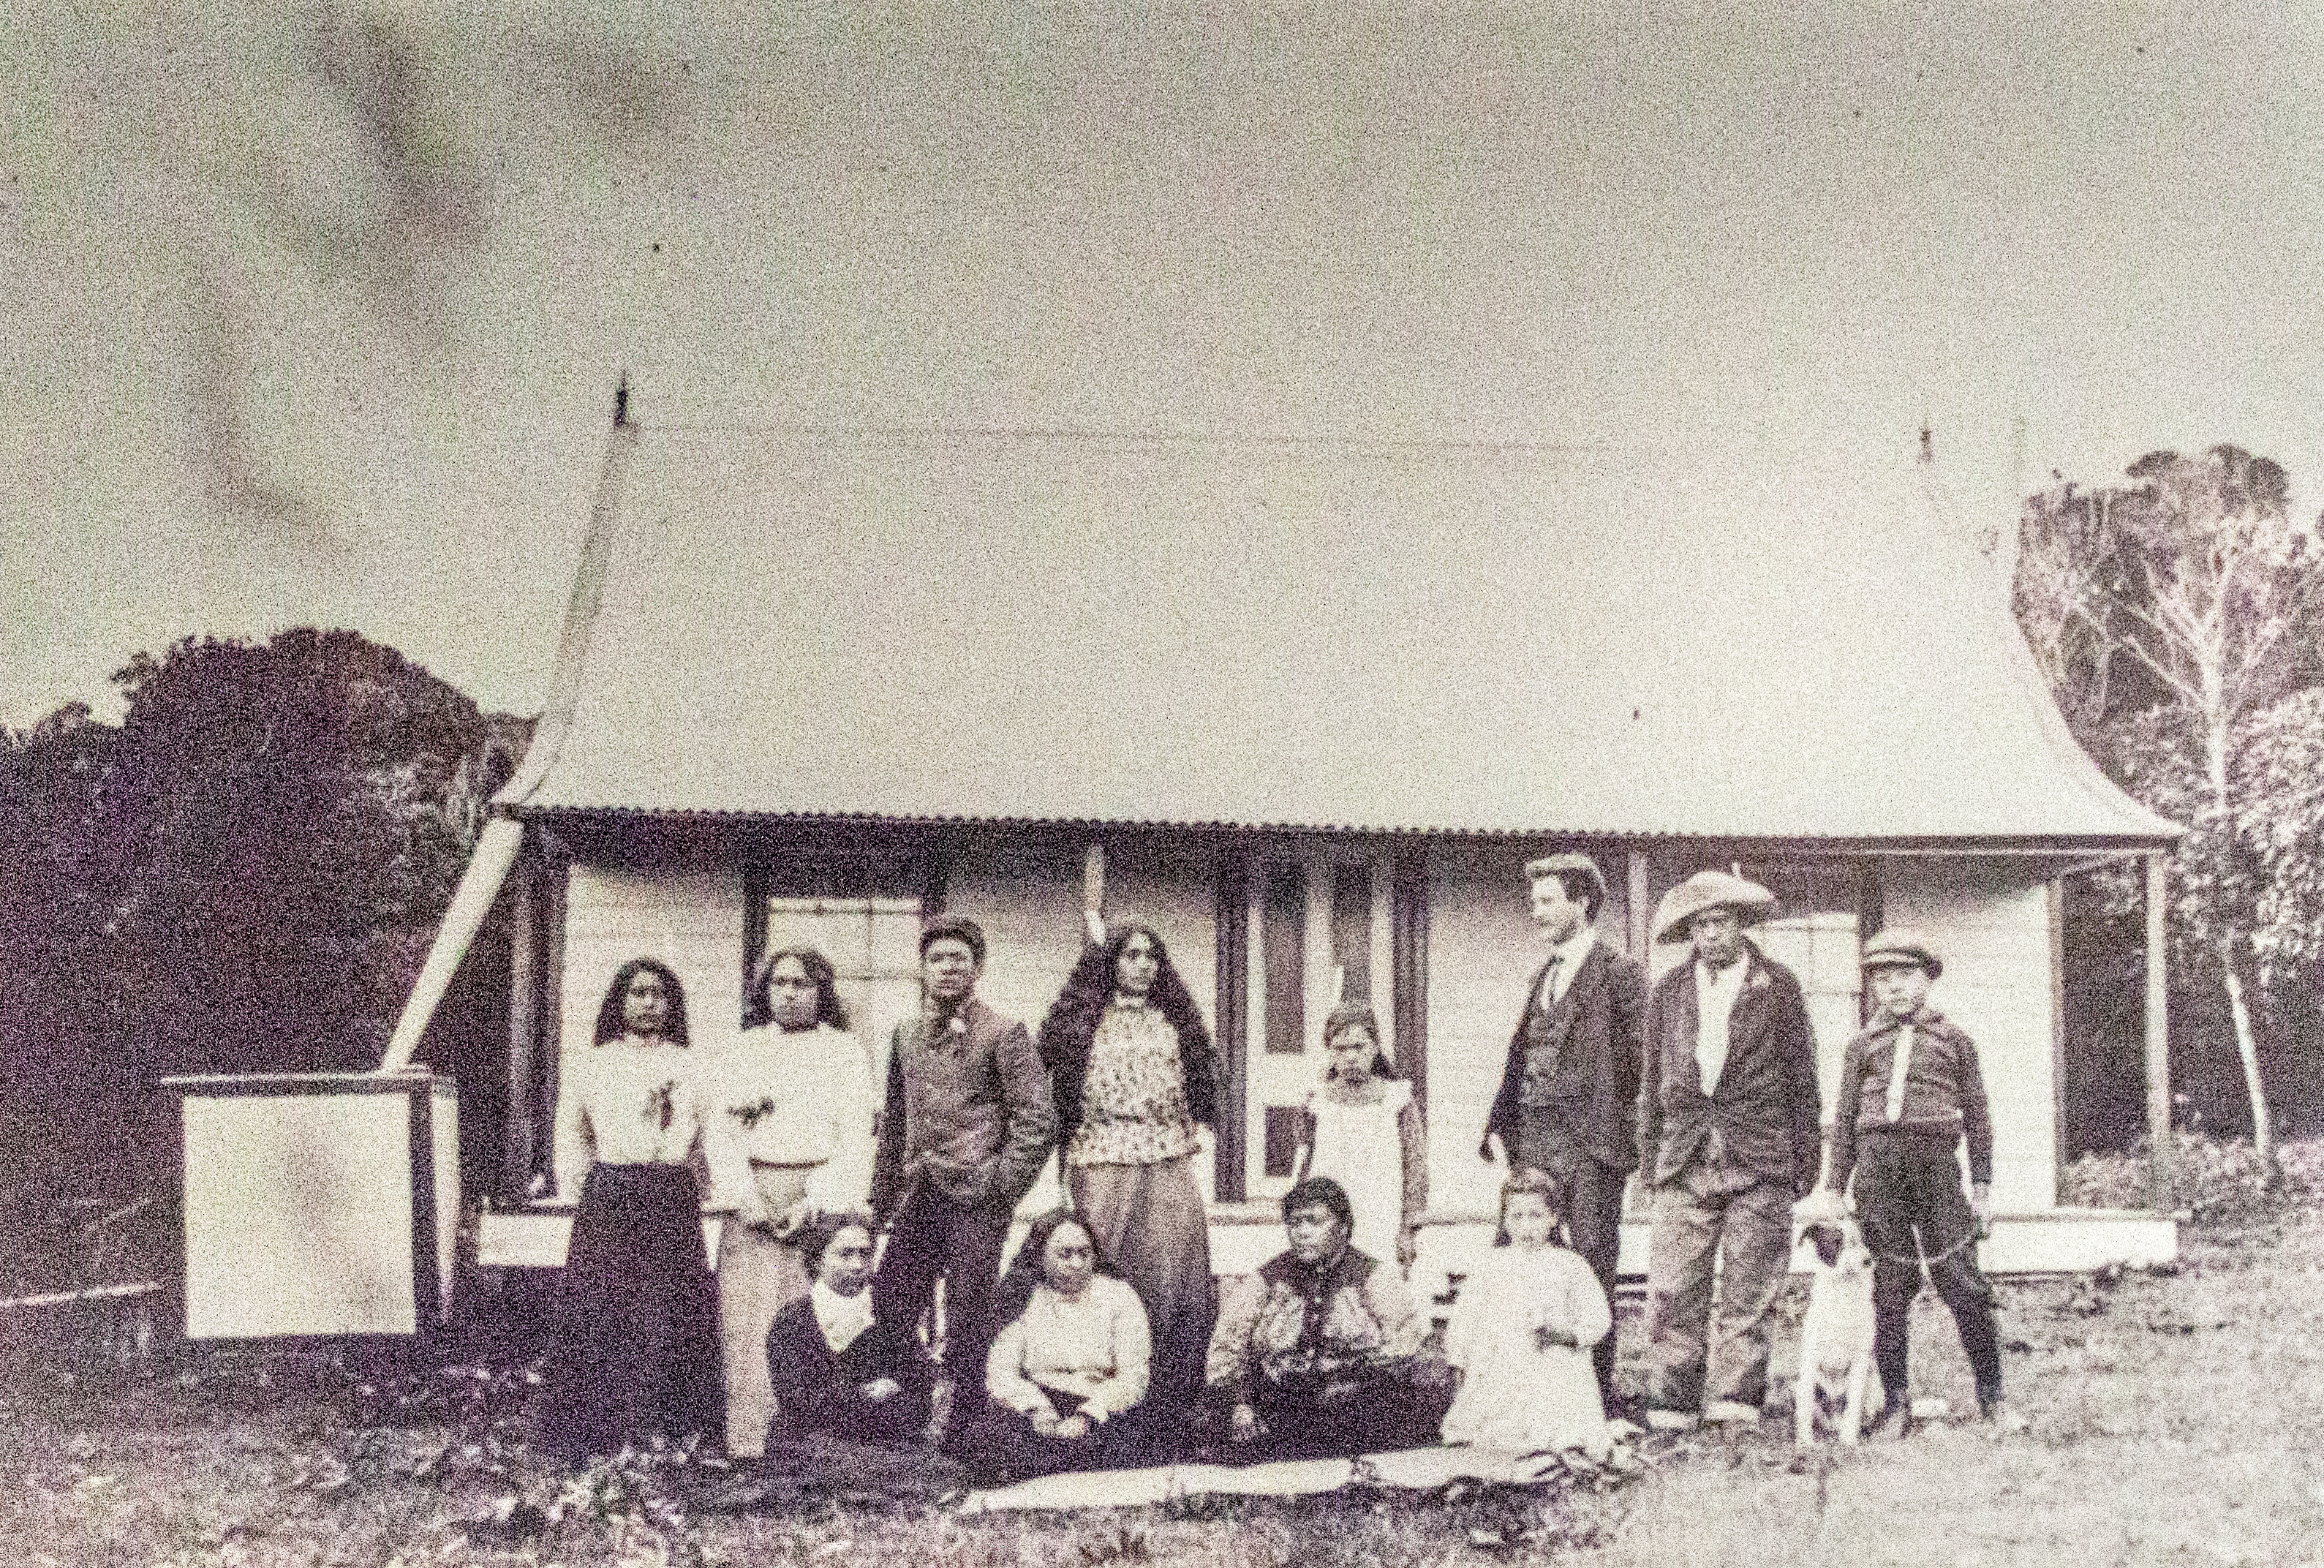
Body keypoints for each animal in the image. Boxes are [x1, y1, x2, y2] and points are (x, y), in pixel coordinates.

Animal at [1784, 1198, 1877, 1450]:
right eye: (1837, 1243)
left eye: (1863, 1241)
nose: (1868, 1261)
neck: (1843, 1294)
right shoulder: (1811, 1360)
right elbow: (1806, 1409)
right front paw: (1805, 1443)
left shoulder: (1860, 1360)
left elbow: (1853, 1407)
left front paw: (1849, 1441)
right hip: (1799, 1387)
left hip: (1873, 1386)